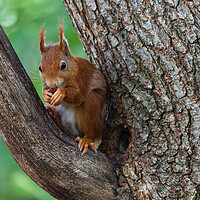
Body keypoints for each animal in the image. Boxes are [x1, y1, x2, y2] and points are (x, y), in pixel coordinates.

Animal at [39, 23, 107, 155]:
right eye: (40, 68)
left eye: (63, 65)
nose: (52, 84)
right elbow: (45, 88)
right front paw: (45, 94)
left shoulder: (80, 79)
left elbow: (77, 95)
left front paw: (61, 94)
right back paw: (53, 113)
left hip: (93, 106)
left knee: (91, 132)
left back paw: (86, 140)